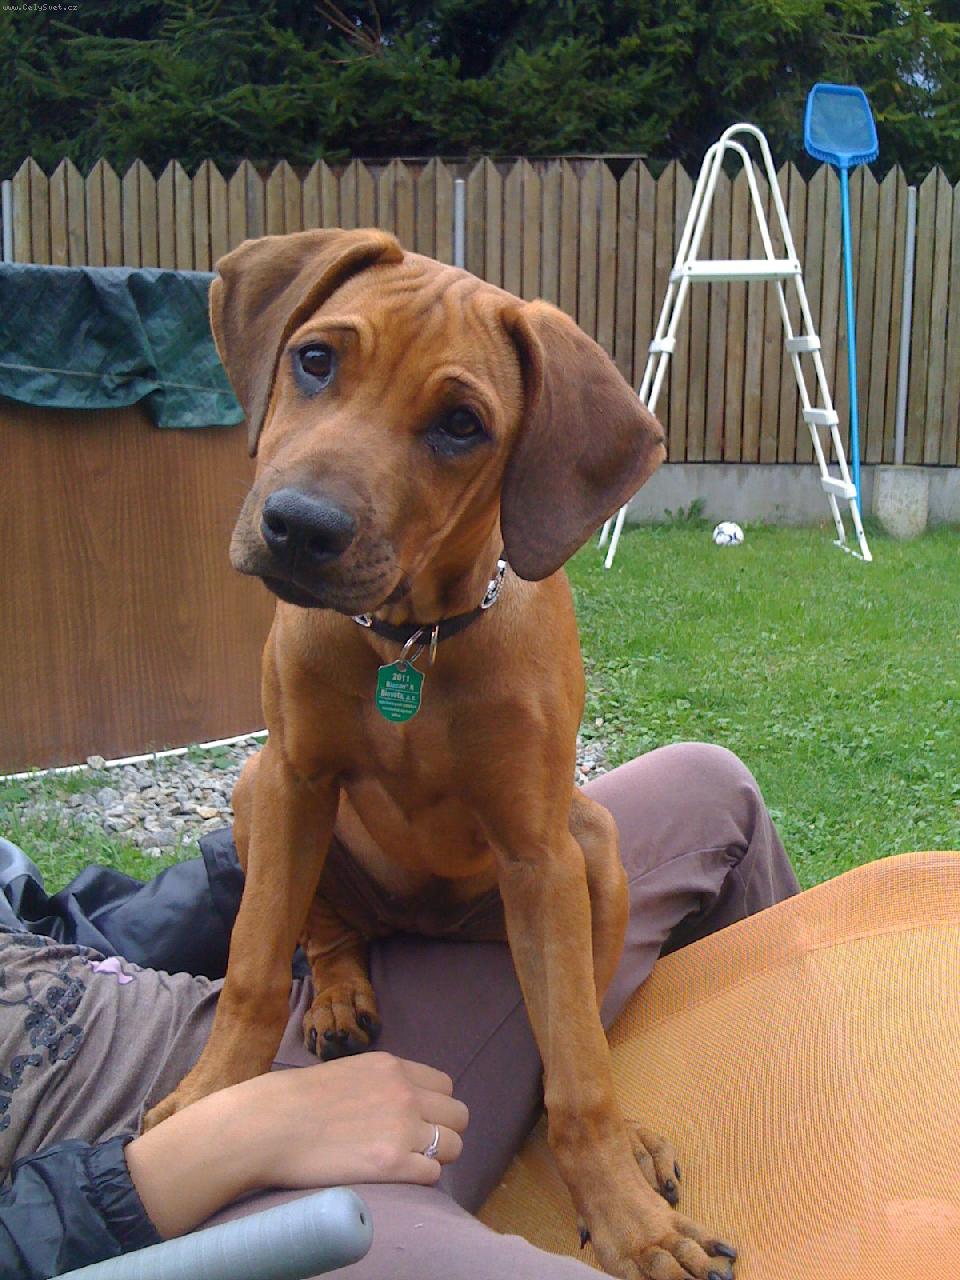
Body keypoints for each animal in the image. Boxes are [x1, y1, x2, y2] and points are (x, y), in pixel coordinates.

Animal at [146, 228, 736, 1279]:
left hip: (593, 847)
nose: (297, 527)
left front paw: (628, 1217)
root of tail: (425, 923)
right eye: (315, 359)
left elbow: (576, 1064)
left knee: (583, 1026)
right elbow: (253, 968)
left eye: (462, 425)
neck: (410, 639)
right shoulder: (294, 777)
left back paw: (630, 1142)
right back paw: (339, 996)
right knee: (329, 930)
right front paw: (209, 1102)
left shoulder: (540, 854)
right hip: (258, 790)